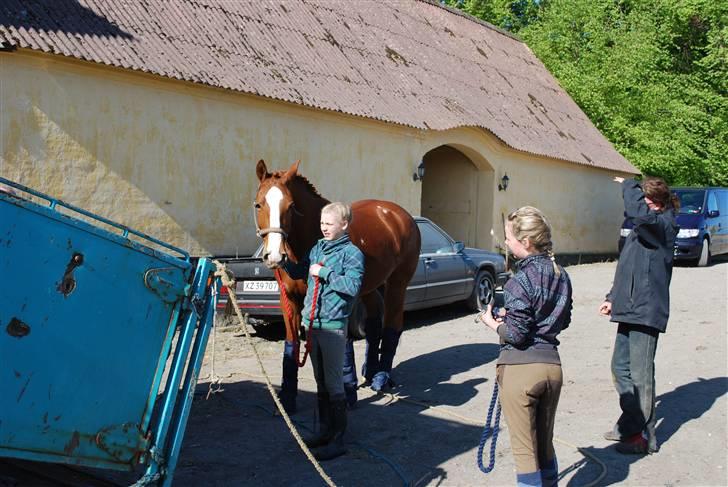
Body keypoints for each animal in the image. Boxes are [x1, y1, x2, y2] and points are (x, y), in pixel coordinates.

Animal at [255, 160, 420, 412]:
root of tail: (399, 215)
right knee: (373, 325)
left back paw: (381, 378)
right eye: (258, 204)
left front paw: (347, 393)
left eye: (291, 206)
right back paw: (370, 372)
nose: (274, 255)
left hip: (397, 284)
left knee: (392, 326)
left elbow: (343, 344)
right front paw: (287, 399)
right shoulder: (289, 300)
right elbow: (292, 344)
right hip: (370, 288)